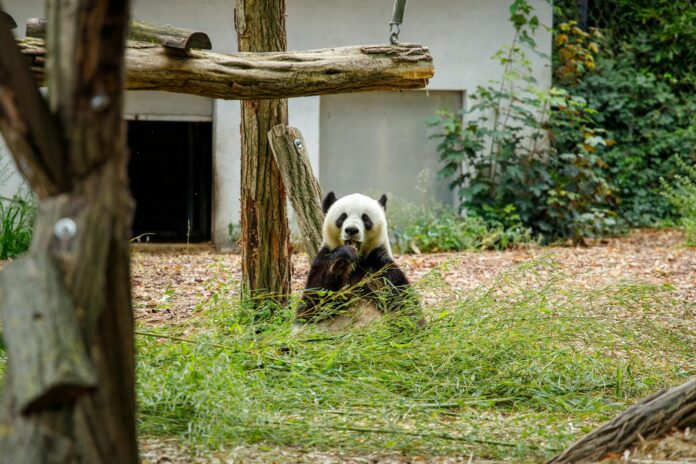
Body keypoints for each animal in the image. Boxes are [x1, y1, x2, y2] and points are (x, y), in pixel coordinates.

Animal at [294, 191, 422, 331]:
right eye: (342, 217)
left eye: (365, 218)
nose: (351, 230)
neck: (357, 260)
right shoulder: (323, 258)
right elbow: (311, 307)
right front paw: (340, 262)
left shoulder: (379, 266)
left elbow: (404, 303)